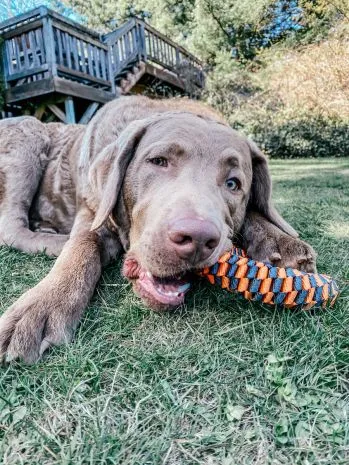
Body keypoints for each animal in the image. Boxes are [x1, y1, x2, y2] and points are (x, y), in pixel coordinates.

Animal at [0, 94, 316, 362]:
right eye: (158, 161)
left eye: (233, 183)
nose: (197, 238)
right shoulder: (92, 209)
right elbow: (81, 248)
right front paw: (40, 306)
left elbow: (255, 212)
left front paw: (281, 244)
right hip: (26, 138)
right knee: (11, 227)